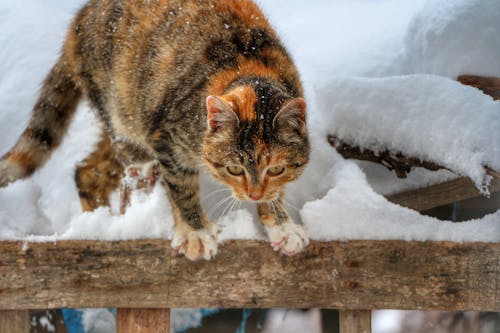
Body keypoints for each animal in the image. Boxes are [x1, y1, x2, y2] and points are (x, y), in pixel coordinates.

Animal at [0, 0, 308, 260]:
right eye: (234, 169)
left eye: (276, 169)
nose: (254, 195)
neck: (252, 71)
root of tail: (80, 18)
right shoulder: (169, 138)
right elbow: (182, 187)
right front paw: (196, 233)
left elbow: (277, 191)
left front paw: (281, 225)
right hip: (118, 103)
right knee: (120, 148)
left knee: (88, 171)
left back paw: (101, 224)